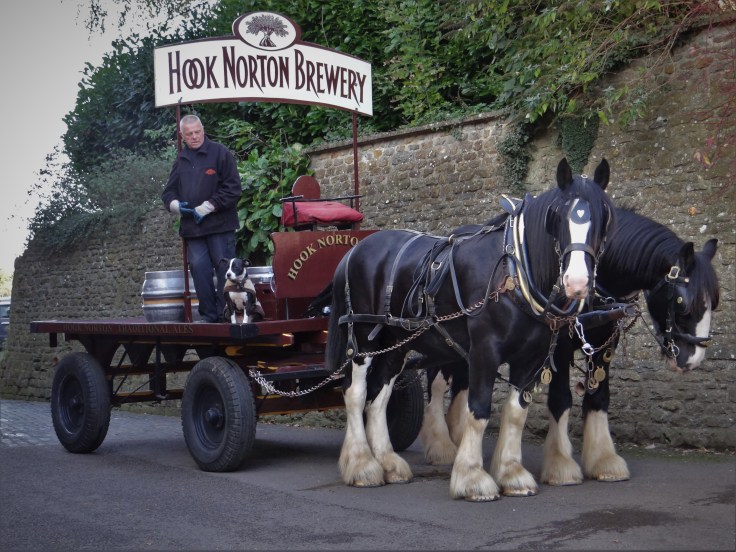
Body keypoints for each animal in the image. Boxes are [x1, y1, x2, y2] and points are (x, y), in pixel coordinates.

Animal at [325, 158, 615, 501]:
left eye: (604, 217)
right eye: (557, 216)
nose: (577, 283)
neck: (513, 272)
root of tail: (354, 251)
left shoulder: (531, 358)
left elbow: (515, 413)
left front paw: (511, 473)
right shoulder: (484, 353)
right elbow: (478, 411)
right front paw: (472, 477)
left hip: (395, 344)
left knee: (378, 397)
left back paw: (387, 463)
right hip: (362, 339)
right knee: (356, 393)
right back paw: (362, 465)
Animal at [418, 206, 720, 493]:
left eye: (714, 303)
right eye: (682, 303)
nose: (692, 359)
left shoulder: (603, 344)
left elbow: (598, 398)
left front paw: (603, 460)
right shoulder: (560, 345)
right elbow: (561, 399)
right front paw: (561, 465)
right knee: (437, 384)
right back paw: (442, 446)